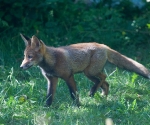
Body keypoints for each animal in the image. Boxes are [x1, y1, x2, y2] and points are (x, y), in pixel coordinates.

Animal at [20, 34, 150, 106]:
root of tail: (103, 45)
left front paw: (77, 106)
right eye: (24, 56)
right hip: (89, 74)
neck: (53, 61)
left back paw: (93, 92)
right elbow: (49, 95)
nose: (21, 67)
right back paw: (103, 97)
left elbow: (73, 93)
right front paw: (46, 107)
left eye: (30, 57)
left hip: (90, 72)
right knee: (105, 83)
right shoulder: (52, 79)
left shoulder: (68, 76)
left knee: (103, 78)